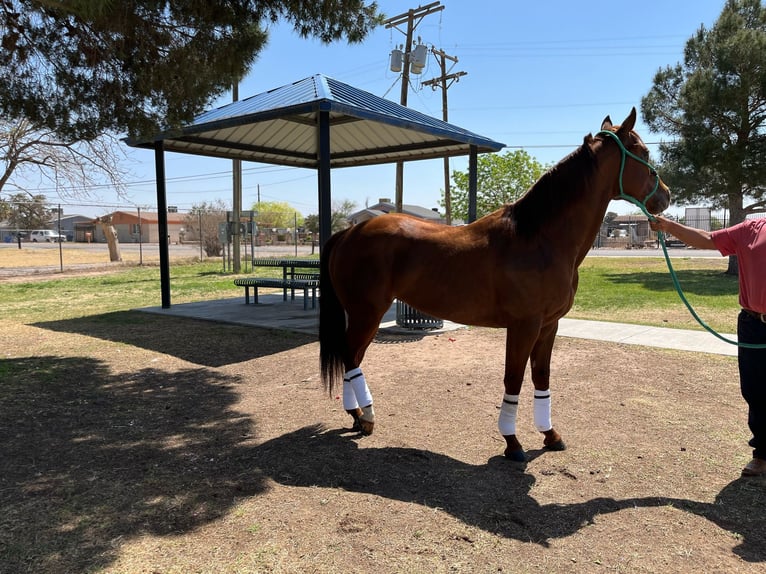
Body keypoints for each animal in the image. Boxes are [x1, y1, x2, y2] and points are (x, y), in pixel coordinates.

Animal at [319, 108, 670, 461]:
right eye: (643, 152)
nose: (665, 196)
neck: (539, 238)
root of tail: (350, 232)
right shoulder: (524, 326)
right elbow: (513, 379)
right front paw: (512, 443)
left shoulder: (549, 326)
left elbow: (541, 377)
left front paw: (550, 435)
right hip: (367, 314)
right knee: (351, 357)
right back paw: (366, 416)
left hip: (367, 316)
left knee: (352, 357)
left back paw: (357, 417)